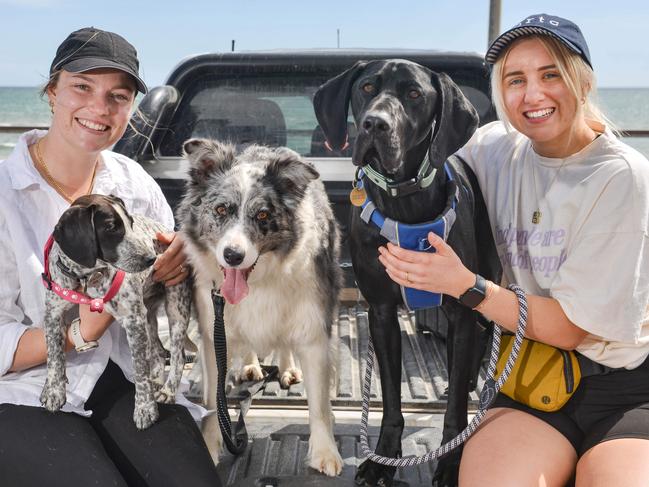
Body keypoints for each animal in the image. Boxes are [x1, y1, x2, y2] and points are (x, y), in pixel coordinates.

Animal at [41, 194, 190, 430]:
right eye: (111, 228)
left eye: (131, 223)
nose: (151, 259)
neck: (85, 277)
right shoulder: (53, 313)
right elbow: (54, 355)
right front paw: (54, 389)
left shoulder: (133, 320)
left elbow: (140, 369)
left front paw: (145, 408)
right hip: (148, 315)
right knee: (158, 351)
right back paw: (157, 383)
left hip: (176, 306)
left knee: (177, 354)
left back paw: (167, 390)